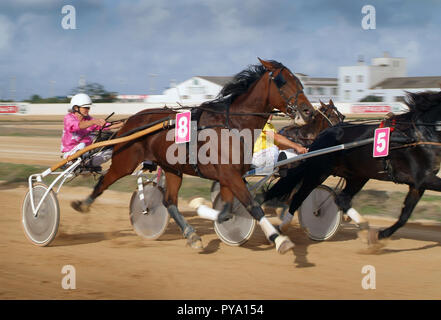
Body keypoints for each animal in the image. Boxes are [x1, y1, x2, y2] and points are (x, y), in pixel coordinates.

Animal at [71, 58, 316, 254]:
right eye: (283, 82)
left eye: (300, 82)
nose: (309, 112)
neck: (234, 125)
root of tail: (130, 121)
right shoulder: (229, 175)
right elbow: (252, 206)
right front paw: (279, 239)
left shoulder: (229, 177)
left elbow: (226, 211)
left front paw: (203, 210)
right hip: (126, 161)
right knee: (104, 181)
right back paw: (82, 204)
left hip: (172, 169)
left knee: (169, 201)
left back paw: (191, 234)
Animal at [262, 90, 440, 248]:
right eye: (331, 115)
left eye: (342, 116)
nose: (340, 123)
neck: (415, 135)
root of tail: (323, 136)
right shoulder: (423, 178)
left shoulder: (418, 183)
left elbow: (405, 215)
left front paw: (380, 235)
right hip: (318, 172)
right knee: (299, 196)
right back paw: (283, 226)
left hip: (357, 175)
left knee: (341, 199)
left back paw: (363, 226)